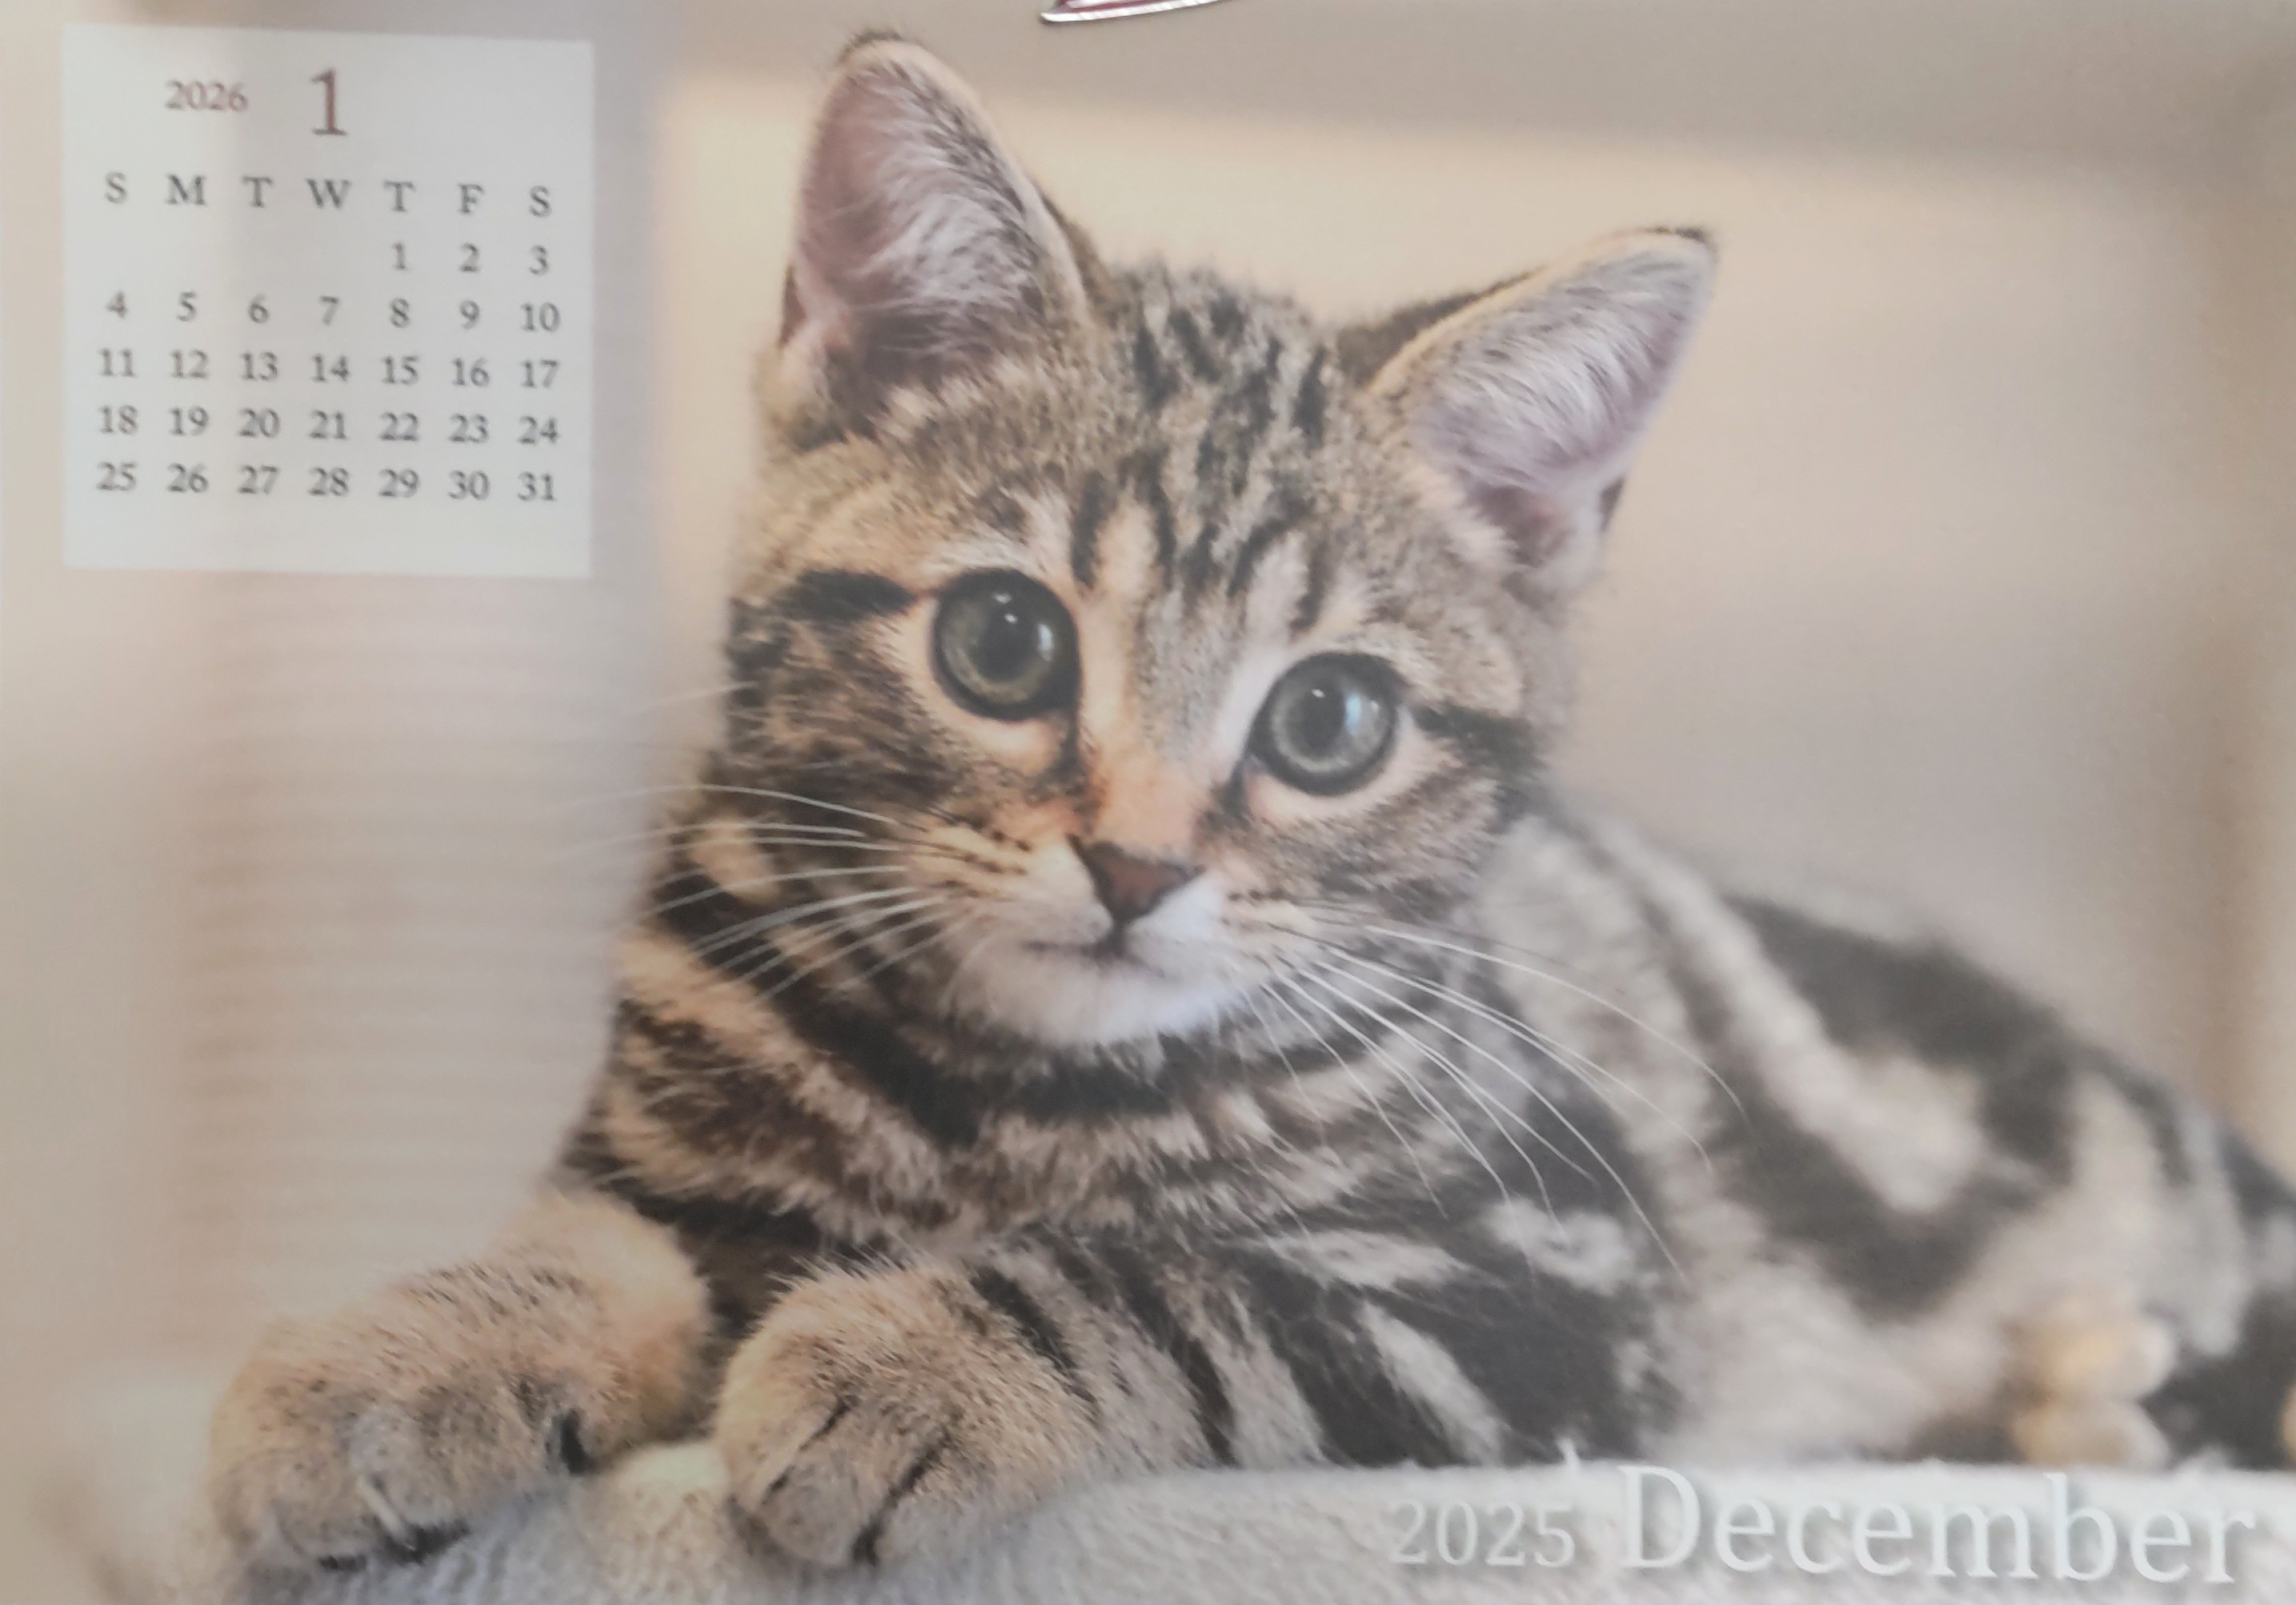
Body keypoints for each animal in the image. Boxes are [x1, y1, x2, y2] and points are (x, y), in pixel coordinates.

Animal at [204, 32, 2296, 1578]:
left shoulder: (1551, 1284)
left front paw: (908, 1360)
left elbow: (1187, 1282)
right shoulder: (656, 1164)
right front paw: (375, 1361)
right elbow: (576, 1246)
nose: (1134, 862)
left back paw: (2108, 1399)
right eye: (998, 642)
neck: (994, 1100)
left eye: (1329, 720)